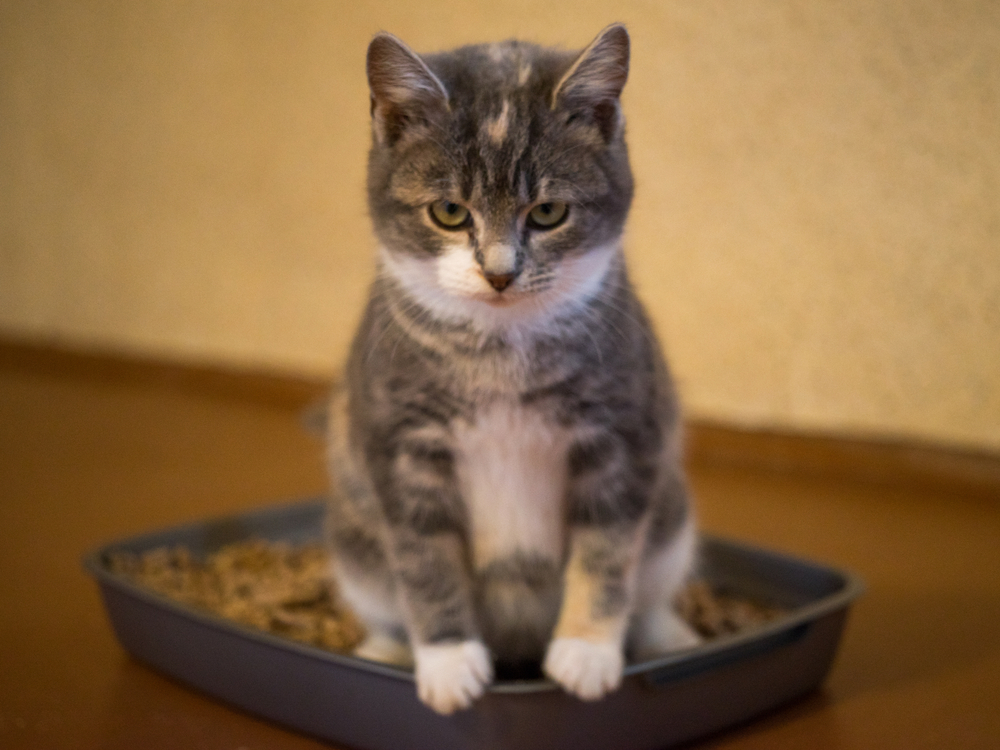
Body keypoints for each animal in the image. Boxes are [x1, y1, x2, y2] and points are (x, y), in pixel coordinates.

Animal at [324, 23, 700, 716]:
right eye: (449, 212)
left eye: (548, 213)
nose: (500, 273)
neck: (500, 352)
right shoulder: (399, 446)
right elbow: (424, 559)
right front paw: (448, 663)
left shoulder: (624, 430)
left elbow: (609, 548)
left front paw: (586, 652)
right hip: (354, 540)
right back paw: (385, 649)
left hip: (673, 520)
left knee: (653, 585)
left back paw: (669, 635)